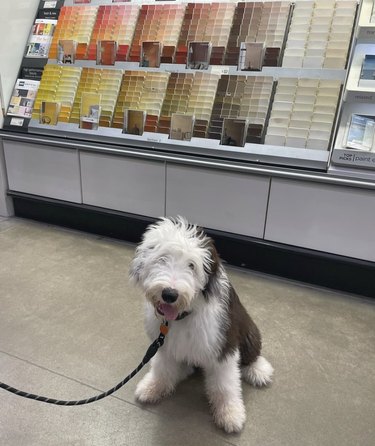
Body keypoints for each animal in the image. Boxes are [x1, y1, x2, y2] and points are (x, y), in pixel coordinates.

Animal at [131, 216, 274, 432]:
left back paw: (259, 370)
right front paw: (152, 387)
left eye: (192, 265)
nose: (170, 294)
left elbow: (225, 385)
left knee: (252, 355)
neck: (182, 316)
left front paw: (230, 414)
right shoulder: (164, 344)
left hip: (249, 330)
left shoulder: (223, 345)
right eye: (162, 258)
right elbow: (162, 368)